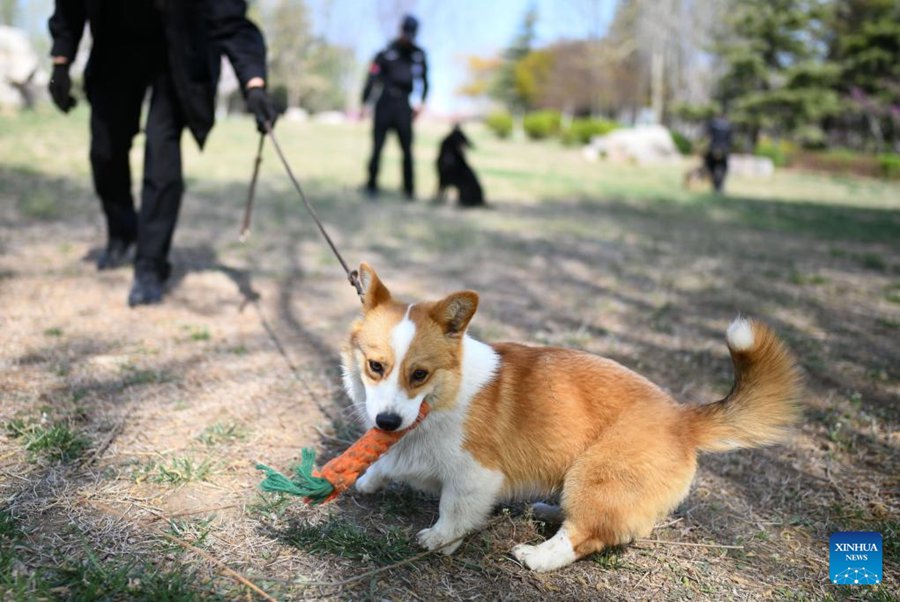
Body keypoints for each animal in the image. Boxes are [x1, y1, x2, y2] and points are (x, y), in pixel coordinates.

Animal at [342, 262, 800, 568]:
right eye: (376, 366)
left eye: (419, 374)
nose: (386, 423)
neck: (442, 398)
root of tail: (683, 418)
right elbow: (381, 463)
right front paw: (367, 480)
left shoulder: (475, 475)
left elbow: (454, 512)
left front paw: (439, 540)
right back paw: (549, 511)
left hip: (595, 476)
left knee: (584, 536)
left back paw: (537, 556)